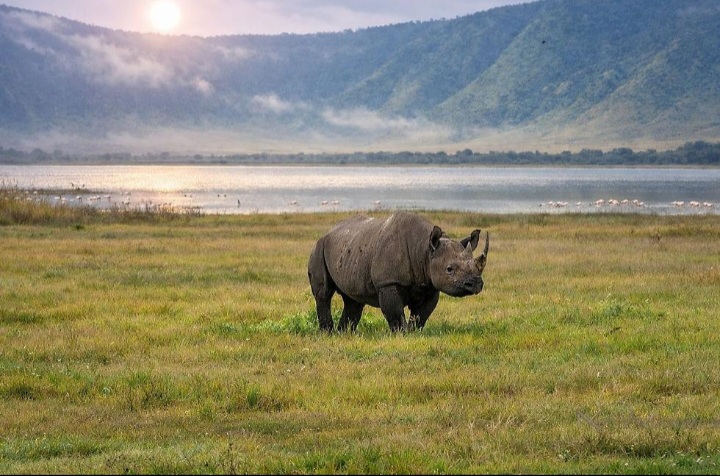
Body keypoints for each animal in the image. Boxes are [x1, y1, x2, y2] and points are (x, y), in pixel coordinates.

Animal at [307, 211, 489, 332]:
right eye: (449, 269)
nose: (475, 284)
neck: (424, 250)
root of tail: (328, 232)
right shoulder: (388, 282)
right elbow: (394, 312)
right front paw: (400, 334)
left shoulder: (430, 285)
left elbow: (421, 315)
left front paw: (414, 333)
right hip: (319, 248)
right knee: (324, 294)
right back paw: (328, 333)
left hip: (349, 249)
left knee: (354, 300)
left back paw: (344, 334)